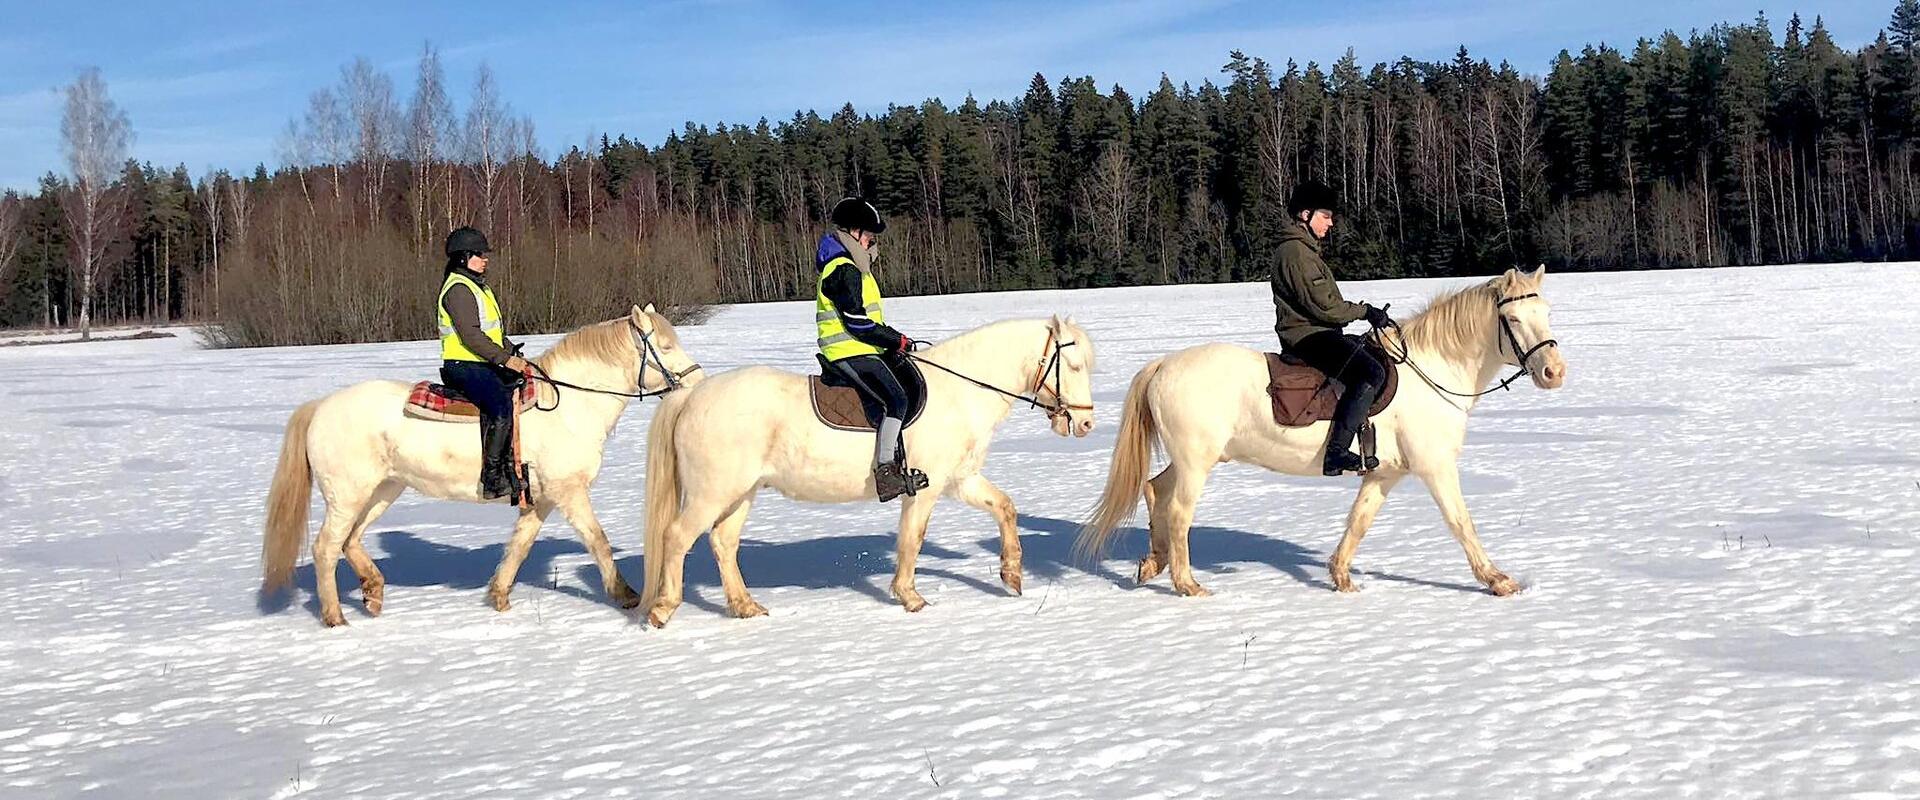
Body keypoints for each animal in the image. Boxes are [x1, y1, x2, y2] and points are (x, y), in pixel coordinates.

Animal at [259, 303, 702, 621]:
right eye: (664, 347)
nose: (697, 381)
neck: (571, 404)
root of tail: (319, 407)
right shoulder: (569, 491)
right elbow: (598, 541)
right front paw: (626, 595)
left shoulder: (540, 499)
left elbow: (519, 547)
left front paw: (499, 596)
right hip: (348, 495)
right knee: (325, 547)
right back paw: (335, 617)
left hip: (382, 490)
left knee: (350, 541)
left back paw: (373, 592)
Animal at [641, 314, 1098, 625]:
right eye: (1074, 367)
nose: (1085, 423)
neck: (960, 390)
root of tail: (693, 395)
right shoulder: (926, 488)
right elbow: (912, 539)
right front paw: (910, 596)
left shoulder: (961, 481)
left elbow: (1005, 507)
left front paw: (1012, 575)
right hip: (711, 493)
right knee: (677, 537)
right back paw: (663, 609)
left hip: (741, 493)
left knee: (723, 543)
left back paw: (745, 606)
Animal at [1082, 270, 1559, 594]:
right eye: (1514, 318)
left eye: (1547, 313)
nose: (1555, 372)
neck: (1432, 371)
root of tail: (1163, 364)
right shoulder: (1435, 467)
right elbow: (1462, 522)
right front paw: (1497, 580)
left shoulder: (1384, 473)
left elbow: (1359, 521)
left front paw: (1341, 577)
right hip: (1196, 463)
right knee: (1180, 513)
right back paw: (1187, 583)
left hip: (1189, 460)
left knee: (1154, 490)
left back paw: (1153, 563)